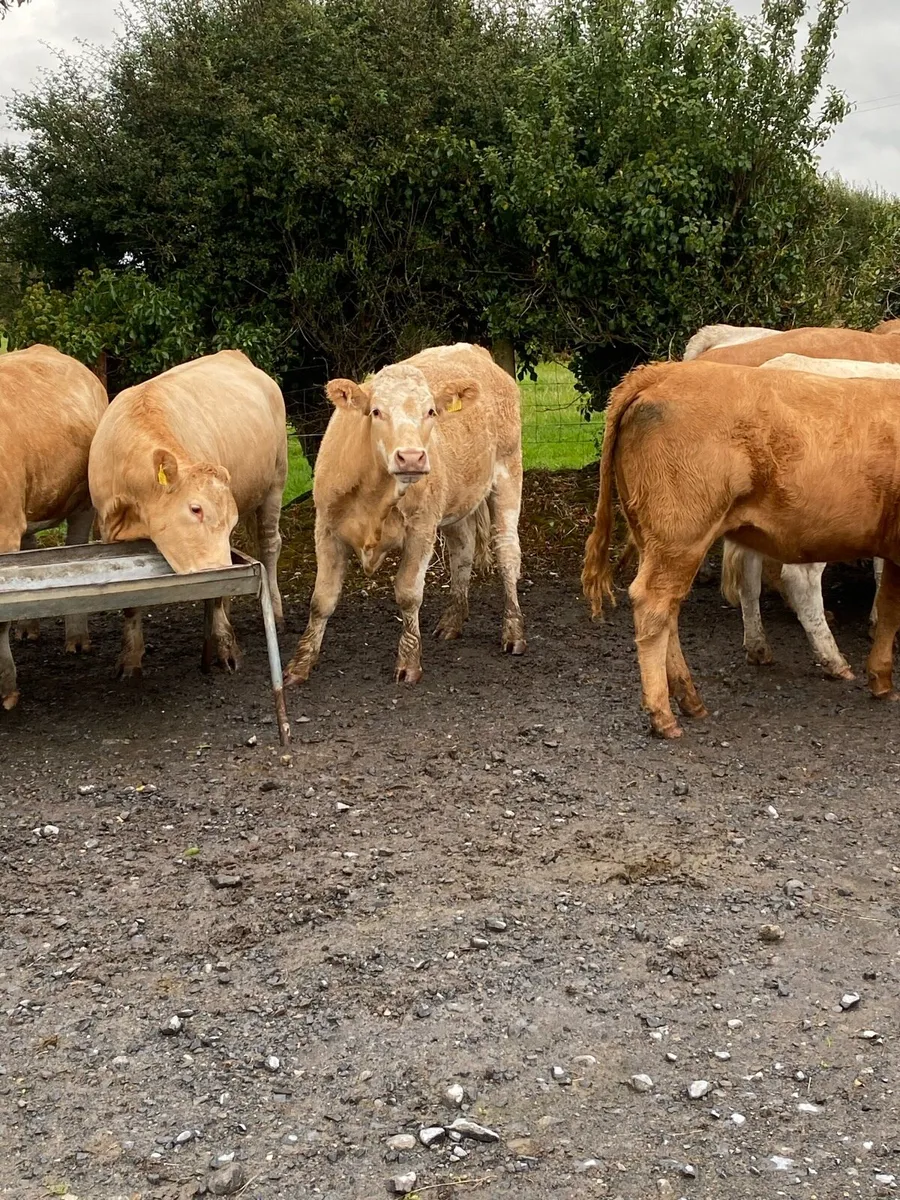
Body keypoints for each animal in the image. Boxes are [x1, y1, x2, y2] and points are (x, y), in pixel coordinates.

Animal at [88, 350, 287, 676]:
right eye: (195, 509)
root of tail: (234, 354)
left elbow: (217, 592)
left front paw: (224, 647)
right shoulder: (109, 530)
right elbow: (130, 602)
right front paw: (130, 658)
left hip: (275, 483)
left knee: (269, 545)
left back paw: (276, 611)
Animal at [284, 343, 525, 687]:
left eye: (431, 412)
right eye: (376, 411)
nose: (411, 457)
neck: (374, 495)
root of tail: (472, 349)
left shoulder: (421, 529)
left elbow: (409, 594)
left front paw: (409, 662)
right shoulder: (326, 529)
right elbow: (322, 600)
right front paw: (299, 665)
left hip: (507, 473)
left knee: (507, 553)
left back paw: (513, 631)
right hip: (454, 501)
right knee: (462, 551)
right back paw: (452, 620)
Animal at [581, 359, 900, 738]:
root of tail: (661, 371)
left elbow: (889, 610)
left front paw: (881, 680)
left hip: (657, 538)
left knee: (669, 609)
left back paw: (690, 700)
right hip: (681, 532)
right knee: (653, 604)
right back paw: (663, 715)